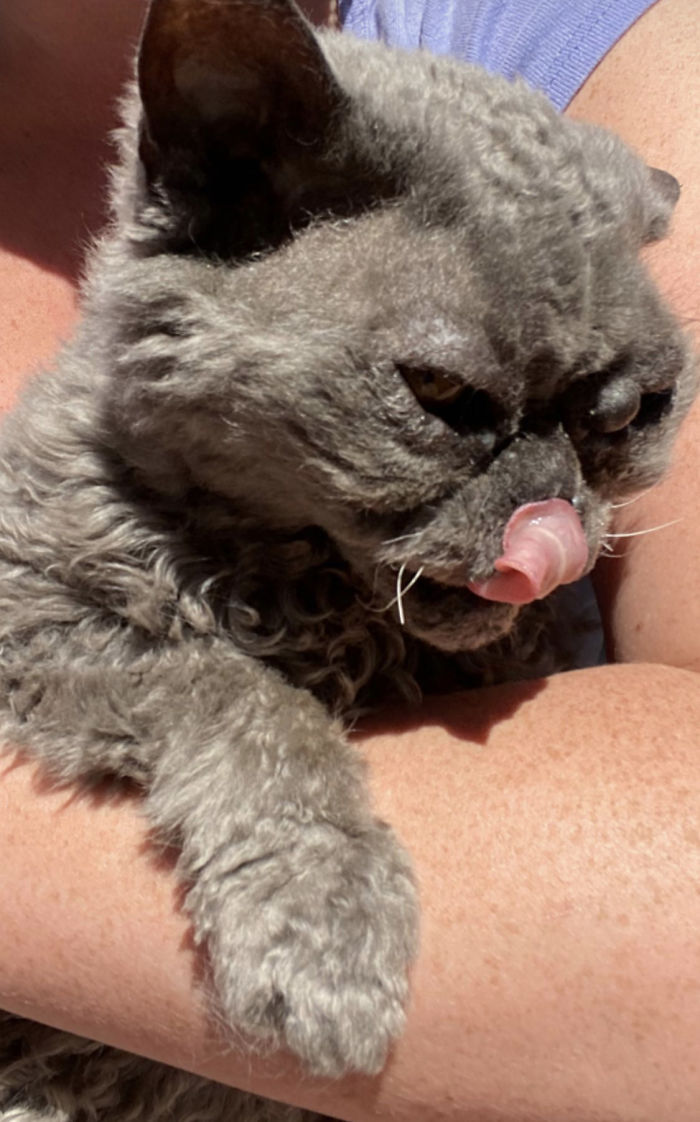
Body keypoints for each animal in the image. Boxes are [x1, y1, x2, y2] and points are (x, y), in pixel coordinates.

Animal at [0, 0, 695, 1117]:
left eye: (627, 414)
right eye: (444, 397)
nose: (554, 517)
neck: (316, 601)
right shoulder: (37, 620)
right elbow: (240, 695)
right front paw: (327, 931)